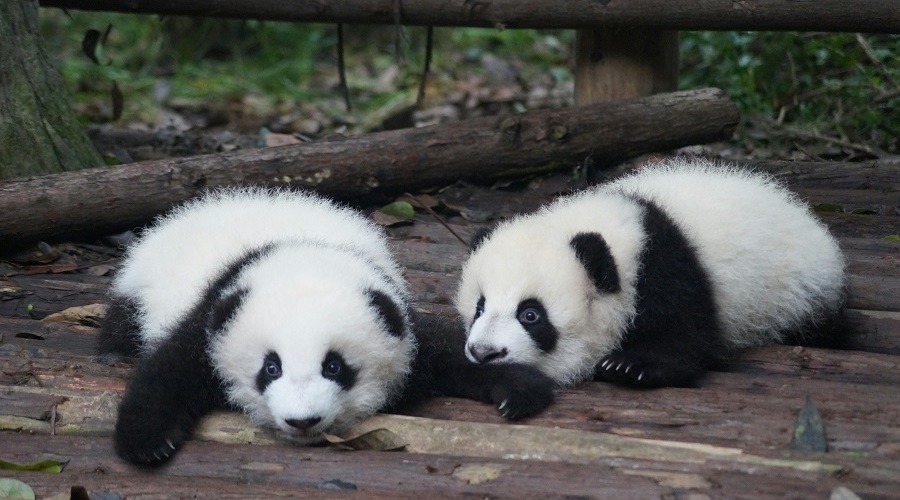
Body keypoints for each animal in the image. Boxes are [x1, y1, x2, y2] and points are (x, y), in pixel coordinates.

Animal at [101, 187, 552, 467]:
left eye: (335, 367)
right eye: (271, 368)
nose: (302, 422)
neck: (303, 252)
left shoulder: (395, 312)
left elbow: (447, 351)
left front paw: (518, 388)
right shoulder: (215, 311)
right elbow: (170, 369)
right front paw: (147, 442)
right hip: (137, 293)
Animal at [455, 157, 846, 389]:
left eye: (531, 314)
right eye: (479, 307)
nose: (484, 353)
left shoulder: (666, 267)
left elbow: (687, 334)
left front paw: (629, 366)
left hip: (799, 292)